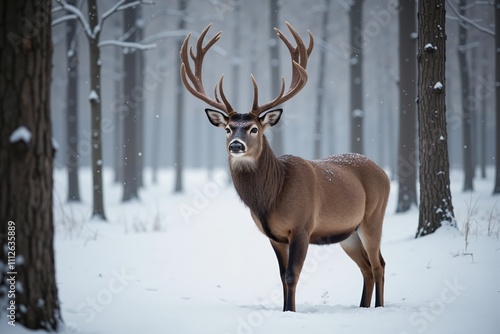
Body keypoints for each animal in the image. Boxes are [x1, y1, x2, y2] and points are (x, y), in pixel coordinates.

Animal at [180, 22, 390, 312]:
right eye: (227, 128)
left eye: (254, 128)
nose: (236, 145)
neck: (271, 197)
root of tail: (384, 174)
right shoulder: (274, 235)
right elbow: (281, 275)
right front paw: (284, 309)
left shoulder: (302, 226)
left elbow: (293, 274)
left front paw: (291, 311)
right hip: (349, 233)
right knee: (367, 268)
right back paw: (362, 306)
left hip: (374, 216)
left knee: (379, 264)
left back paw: (379, 307)